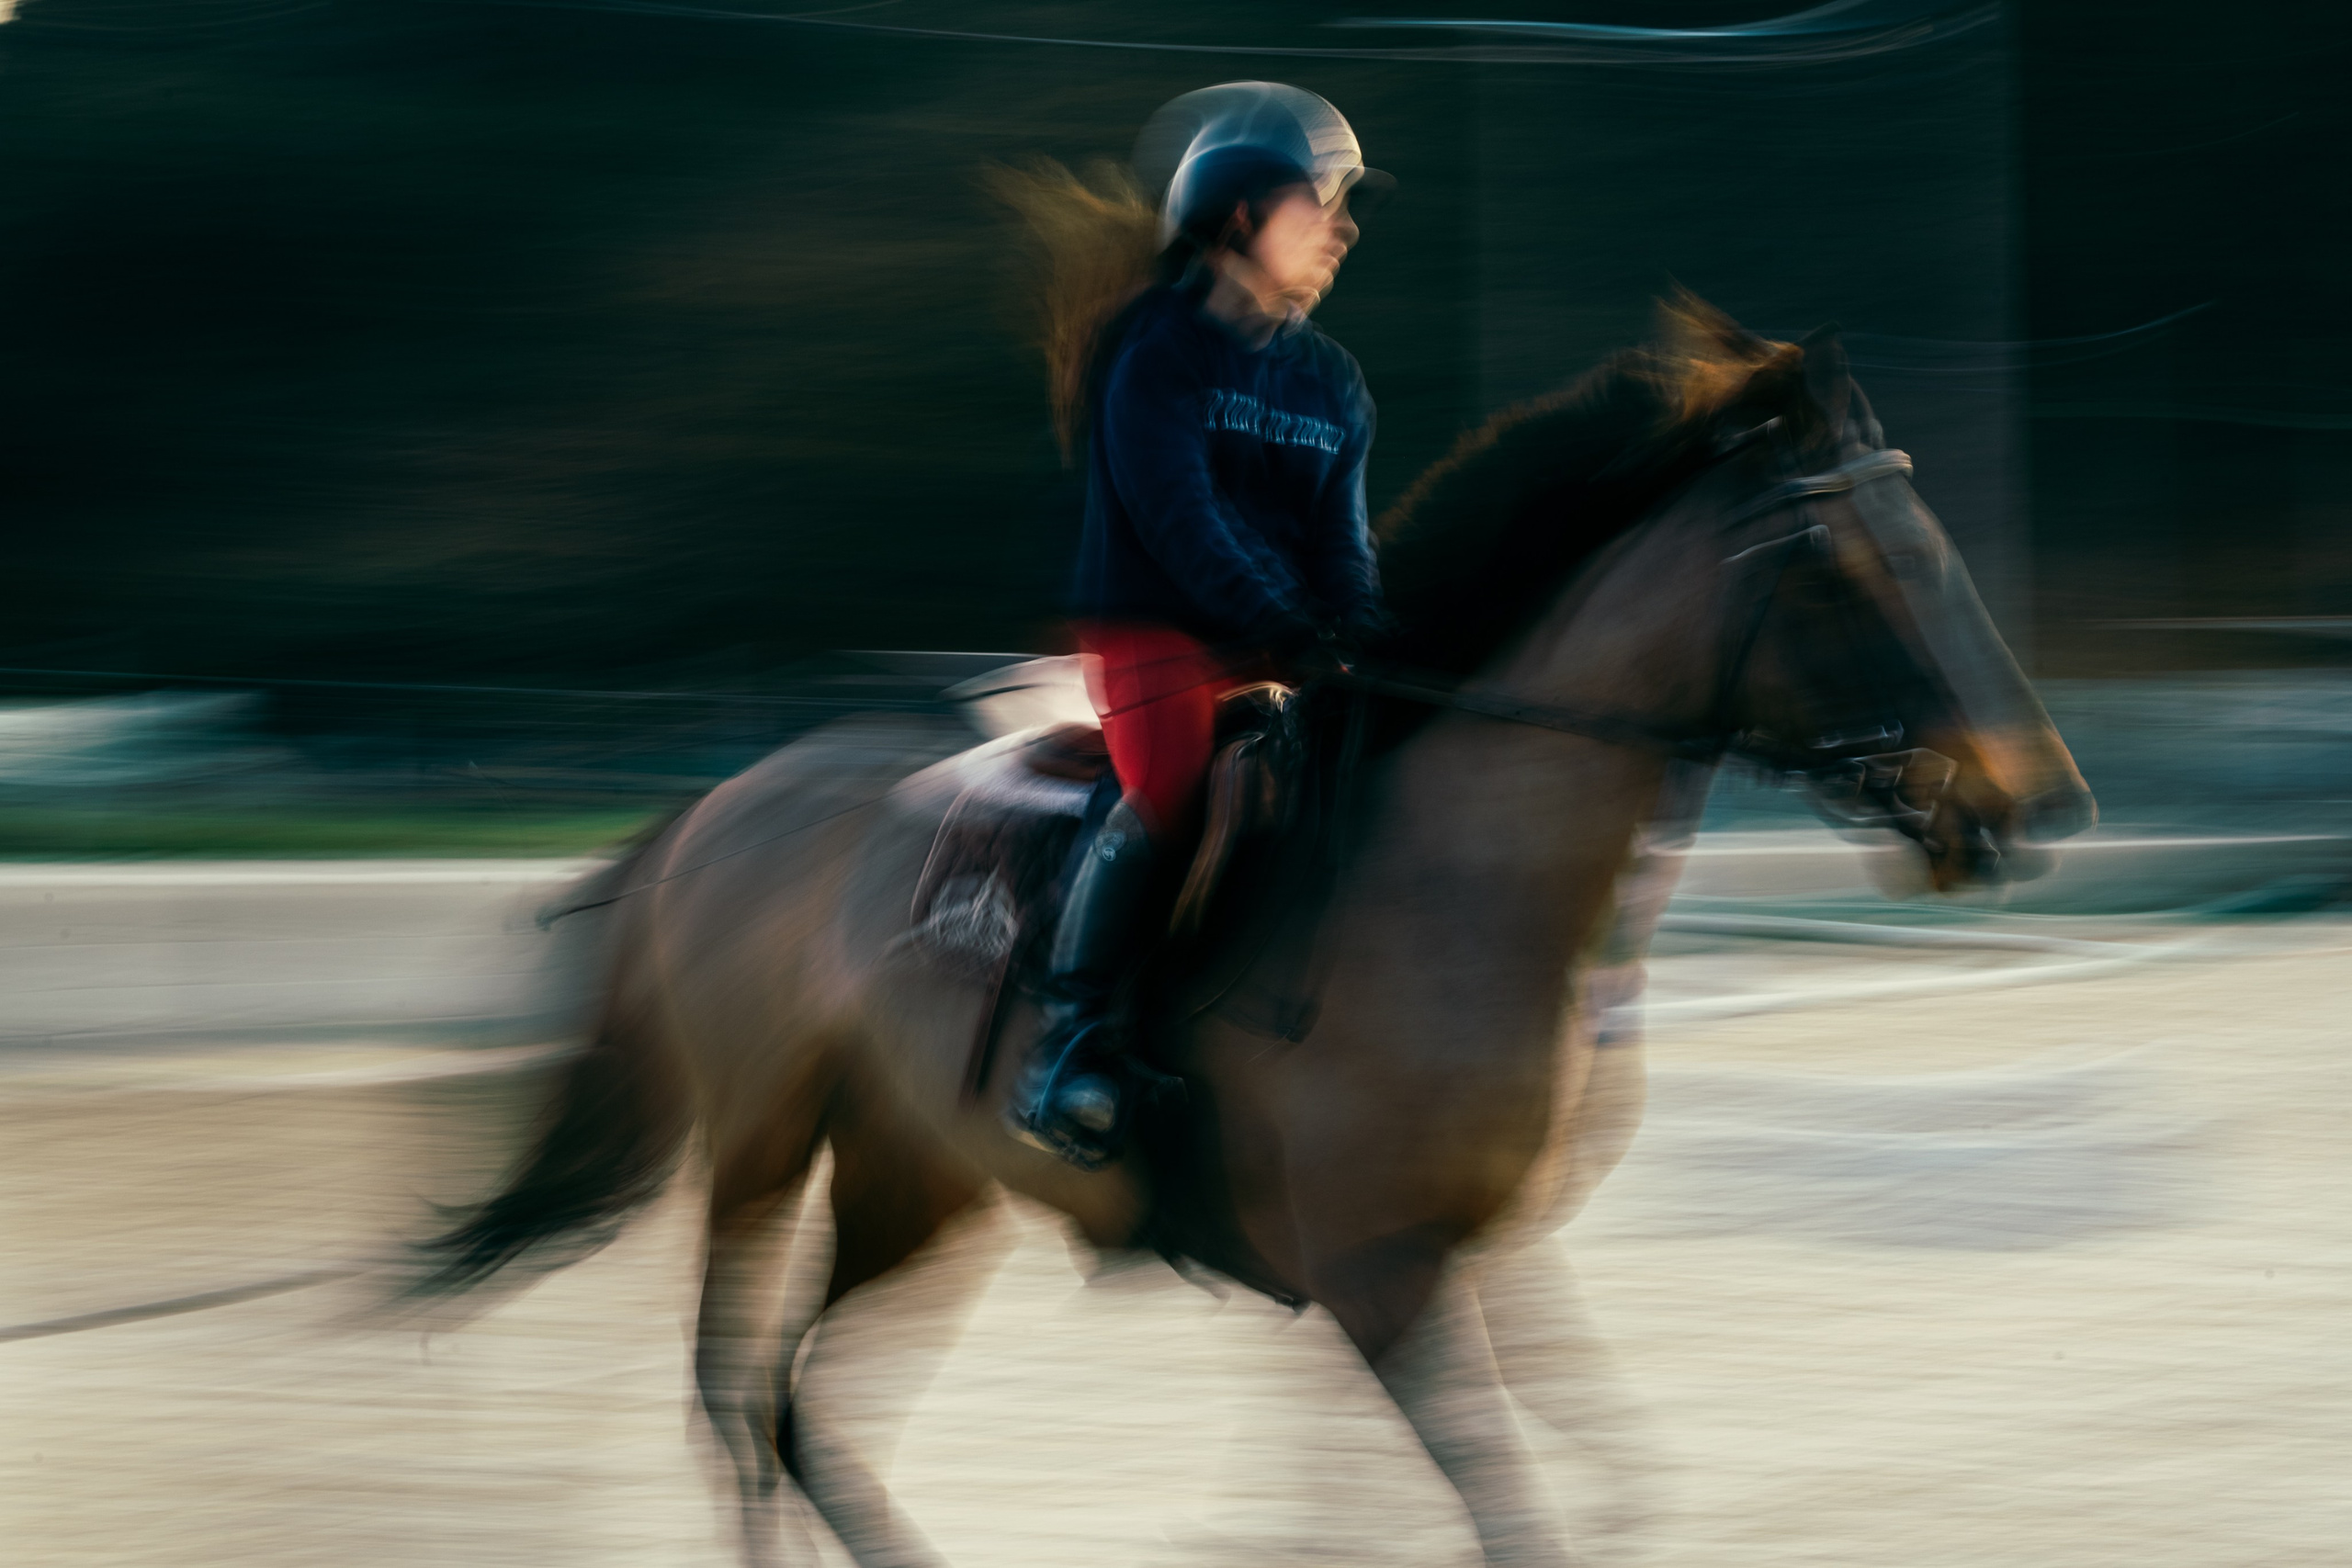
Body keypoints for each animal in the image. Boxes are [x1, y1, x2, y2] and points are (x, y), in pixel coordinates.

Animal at [413, 300, 2094, 1567]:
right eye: (1866, 567)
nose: (2033, 803)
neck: (1464, 890)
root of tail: (724, 805)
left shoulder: (1463, 1256)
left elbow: (1568, 1490)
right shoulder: (1386, 1273)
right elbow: (1509, 1508)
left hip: (918, 1173)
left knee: (796, 1404)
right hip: (769, 1140)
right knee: (732, 1388)